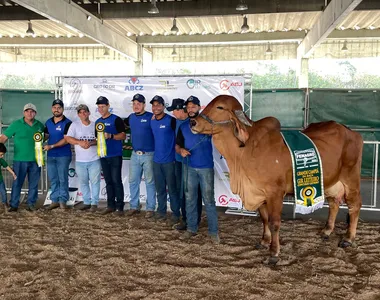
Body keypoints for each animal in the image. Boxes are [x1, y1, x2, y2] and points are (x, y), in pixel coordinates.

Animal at [190, 95, 362, 264]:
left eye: (220, 107)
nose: (193, 122)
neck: (246, 150)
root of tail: (352, 132)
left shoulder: (275, 193)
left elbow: (274, 223)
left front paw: (274, 252)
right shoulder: (259, 192)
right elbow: (264, 219)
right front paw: (264, 241)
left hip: (351, 178)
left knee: (354, 205)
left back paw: (348, 238)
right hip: (332, 182)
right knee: (334, 203)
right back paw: (326, 231)